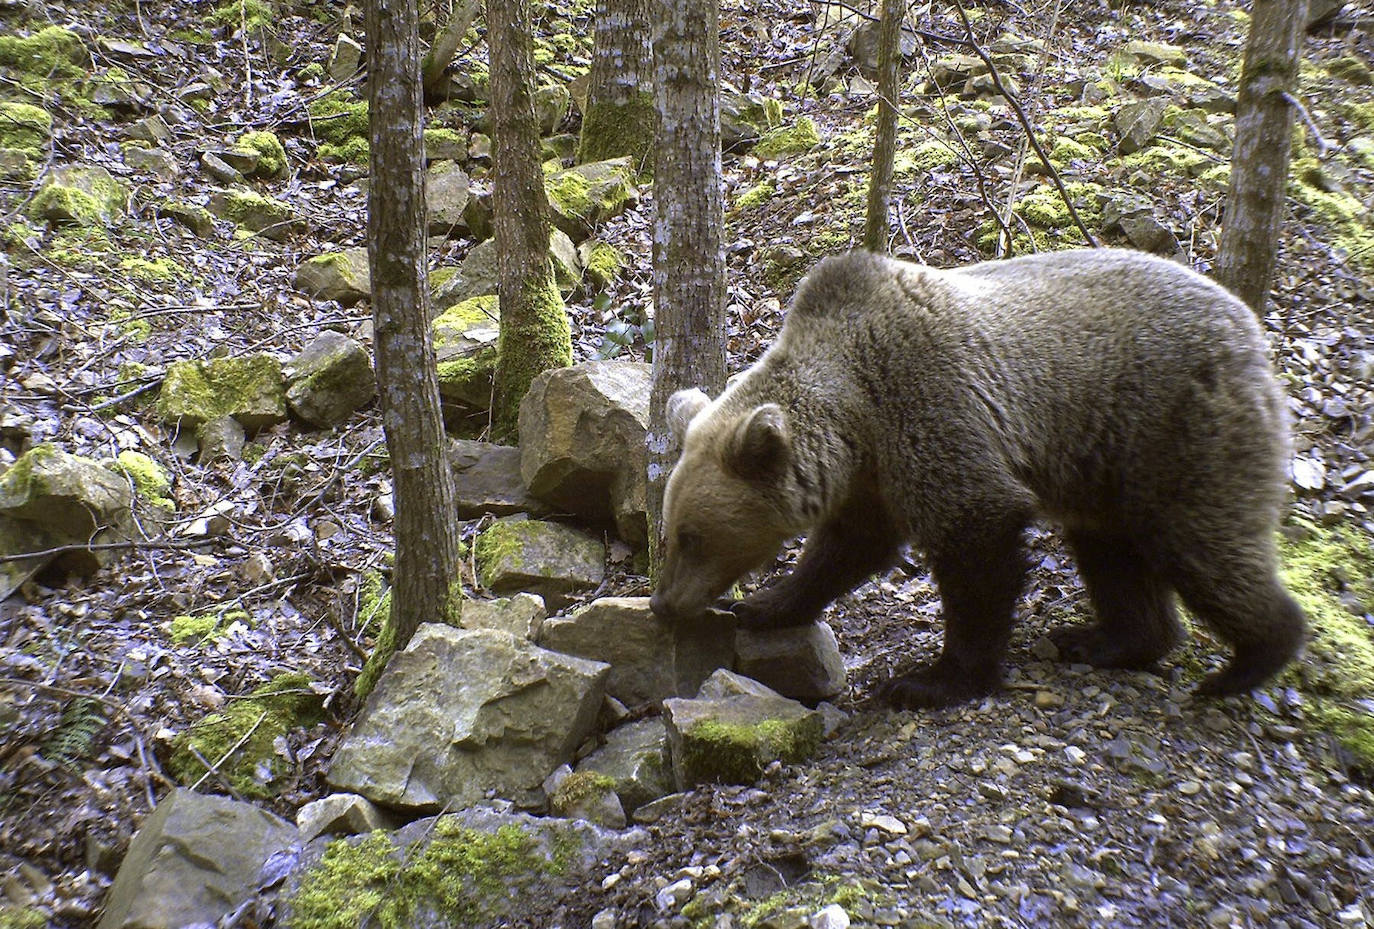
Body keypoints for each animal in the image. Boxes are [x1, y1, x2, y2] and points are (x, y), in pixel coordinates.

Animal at [648, 250, 1302, 709]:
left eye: (690, 536)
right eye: (670, 532)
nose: (663, 603)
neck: (857, 416)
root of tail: (1249, 327)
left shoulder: (932, 410)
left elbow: (977, 539)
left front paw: (931, 681)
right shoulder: (872, 478)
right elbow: (846, 549)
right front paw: (764, 604)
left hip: (1173, 429)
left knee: (1200, 542)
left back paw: (1249, 661)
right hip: (1103, 465)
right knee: (1113, 554)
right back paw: (1105, 639)